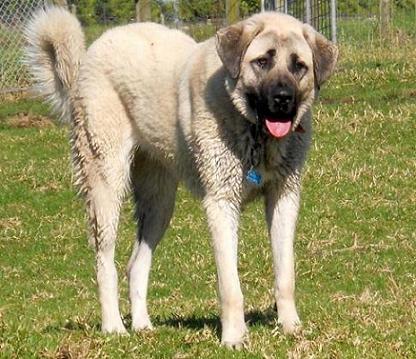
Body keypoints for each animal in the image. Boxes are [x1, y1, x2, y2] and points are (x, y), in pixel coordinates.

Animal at [25, 5, 338, 348]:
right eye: (262, 62)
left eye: (299, 66)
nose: (282, 98)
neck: (256, 133)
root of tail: (91, 53)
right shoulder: (221, 204)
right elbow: (230, 286)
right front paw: (233, 337)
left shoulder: (284, 197)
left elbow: (286, 274)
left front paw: (291, 327)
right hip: (106, 185)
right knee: (105, 262)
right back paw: (113, 327)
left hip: (159, 204)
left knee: (136, 264)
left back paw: (143, 326)